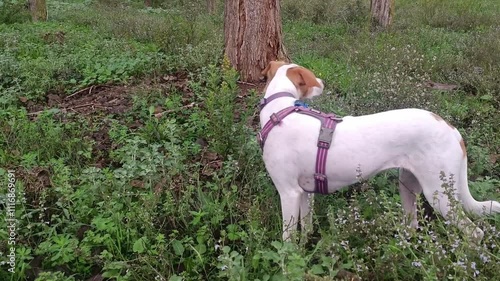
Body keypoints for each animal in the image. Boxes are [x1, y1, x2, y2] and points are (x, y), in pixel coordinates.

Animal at [260, 61, 500, 241]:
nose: (324, 82)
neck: (280, 111)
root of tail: (452, 129)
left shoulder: (289, 193)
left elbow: (287, 241)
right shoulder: (305, 193)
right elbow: (305, 231)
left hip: (440, 196)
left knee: (475, 233)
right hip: (408, 186)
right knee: (413, 224)